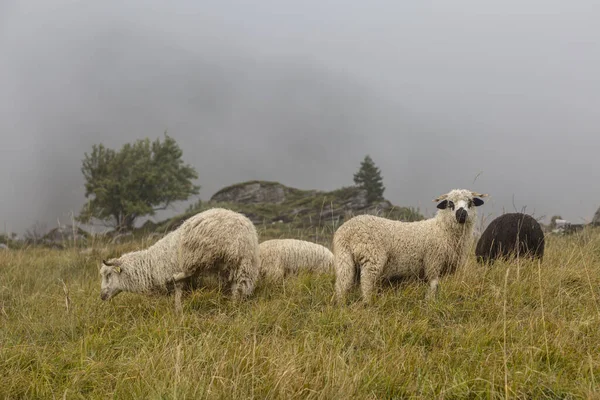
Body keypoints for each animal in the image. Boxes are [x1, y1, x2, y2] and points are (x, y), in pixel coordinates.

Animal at [99, 208, 260, 310]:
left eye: (108, 275)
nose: (101, 296)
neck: (150, 265)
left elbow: (177, 293)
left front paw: (177, 310)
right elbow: (180, 295)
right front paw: (179, 309)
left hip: (200, 251)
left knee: (191, 270)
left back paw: (177, 276)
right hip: (243, 265)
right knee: (239, 289)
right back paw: (234, 305)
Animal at [332, 188, 488, 304]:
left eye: (470, 203)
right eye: (450, 204)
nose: (461, 214)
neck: (442, 230)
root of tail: (348, 231)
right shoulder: (433, 263)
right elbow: (433, 285)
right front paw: (430, 302)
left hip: (344, 259)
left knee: (342, 283)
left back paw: (342, 305)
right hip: (372, 258)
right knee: (366, 283)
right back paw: (368, 303)